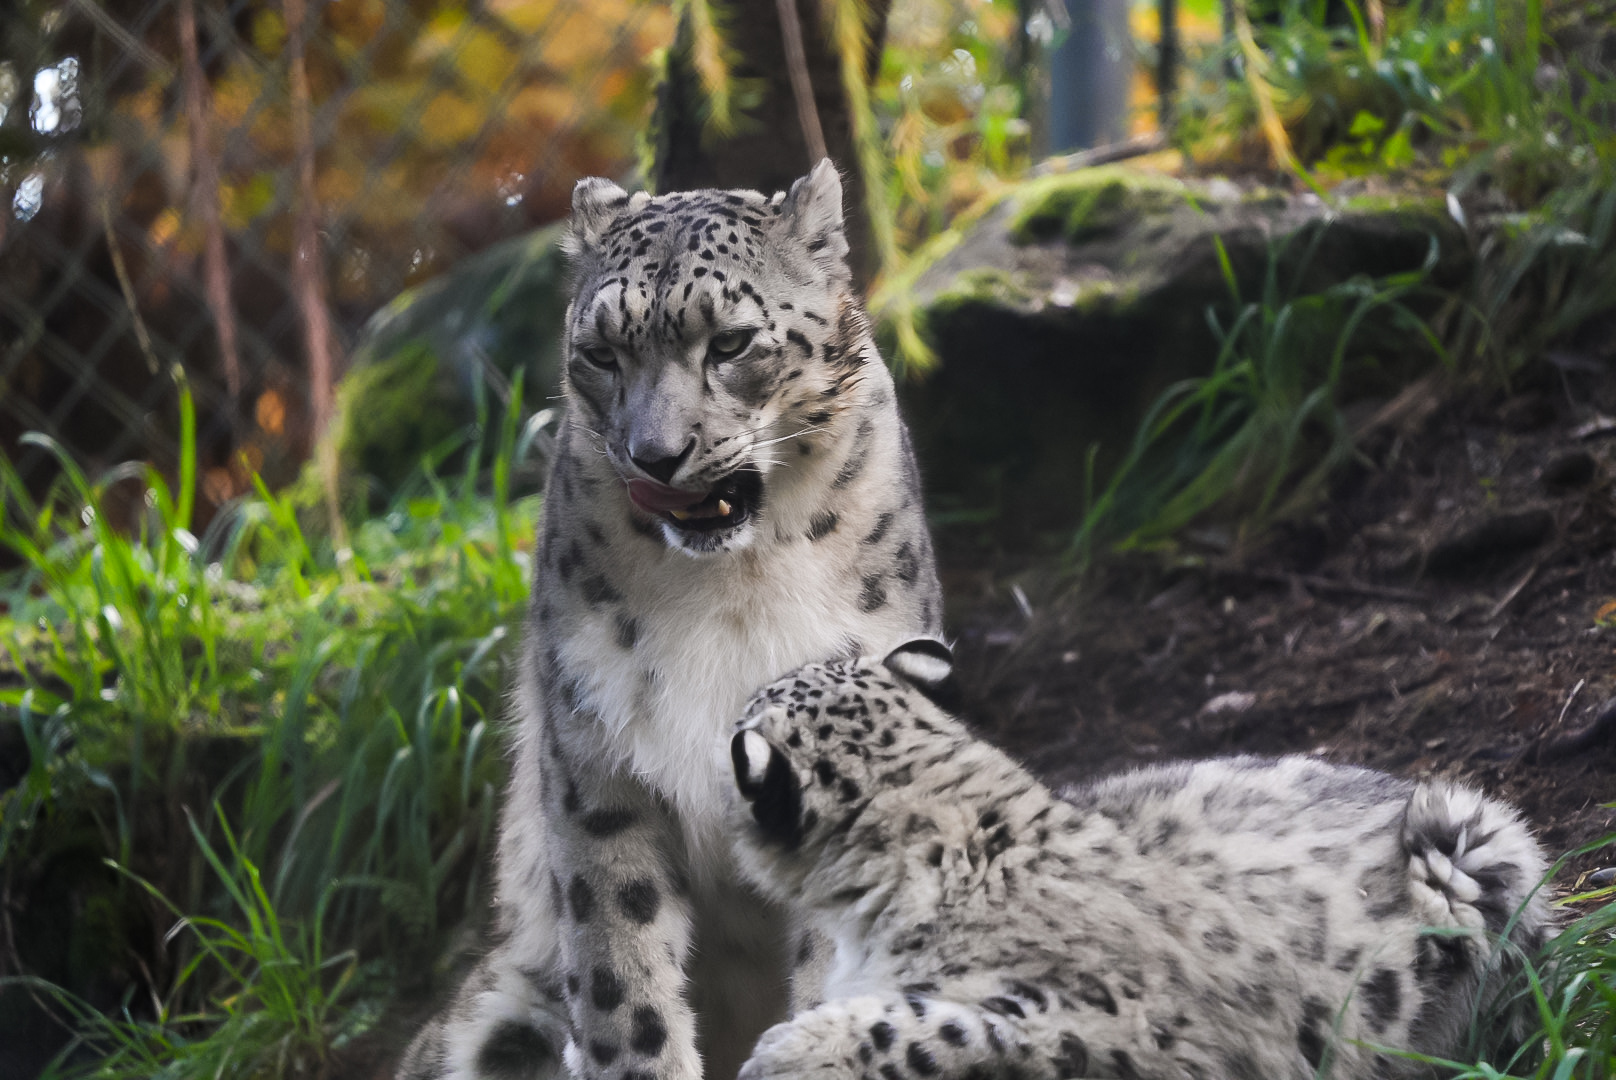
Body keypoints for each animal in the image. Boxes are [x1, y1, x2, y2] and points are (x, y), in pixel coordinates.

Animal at [397, 160, 943, 1080]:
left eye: (729, 343)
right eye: (600, 353)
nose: (657, 455)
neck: (733, 583)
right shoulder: (599, 768)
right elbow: (622, 974)